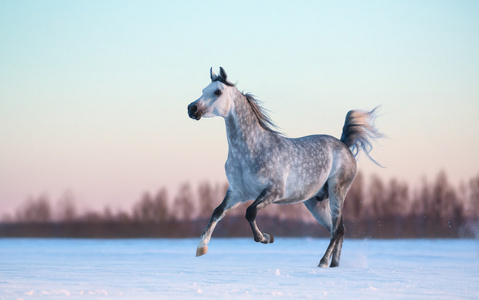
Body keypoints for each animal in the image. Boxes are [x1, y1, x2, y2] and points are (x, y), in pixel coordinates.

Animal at [188, 67, 382, 268]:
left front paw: (267, 238)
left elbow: (250, 213)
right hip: (315, 203)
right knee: (337, 229)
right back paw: (334, 265)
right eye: (203, 90)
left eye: (218, 92)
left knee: (337, 230)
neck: (250, 150)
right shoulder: (237, 193)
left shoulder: (273, 191)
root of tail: (344, 145)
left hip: (337, 192)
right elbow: (217, 212)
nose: (192, 108)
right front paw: (201, 248)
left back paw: (323, 262)